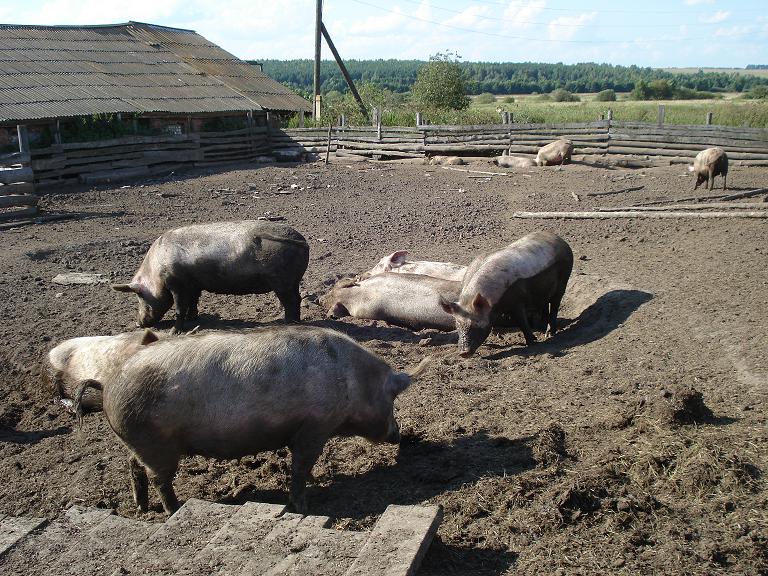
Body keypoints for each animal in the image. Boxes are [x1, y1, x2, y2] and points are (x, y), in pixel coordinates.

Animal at [74, 326, 428, 516]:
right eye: (392, 399)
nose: (400, 435)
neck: (354, 382)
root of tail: (108, 383)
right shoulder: (315, 427)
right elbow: (301, 467)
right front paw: (302, 506)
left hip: (138, 442)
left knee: (133, 466)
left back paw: (142, 508)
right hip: (155, 443)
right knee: (159, 478)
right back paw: (174, 510)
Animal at [112, 223, 308, 336]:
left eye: (140, 296)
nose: (138, 323)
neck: (156, 271)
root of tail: (303, 241)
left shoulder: (177, 284)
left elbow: (179, 307)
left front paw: (174, 332)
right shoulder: (193, 285)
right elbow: (193, 302)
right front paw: (193, 319)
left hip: (282, 282)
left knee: (292, 301)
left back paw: (288, 323)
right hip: (291, 282)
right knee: (296, 299)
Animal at [440, 232, 572, 358]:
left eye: (475, 324)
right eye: (457, 325)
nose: (463, 353)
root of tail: (560, 240)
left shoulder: (517, 301)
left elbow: (521, 321)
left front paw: (532, 342)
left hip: (565, 276)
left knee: (555, 303)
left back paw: (549, 333)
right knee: (544, 302)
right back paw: (541, 329)